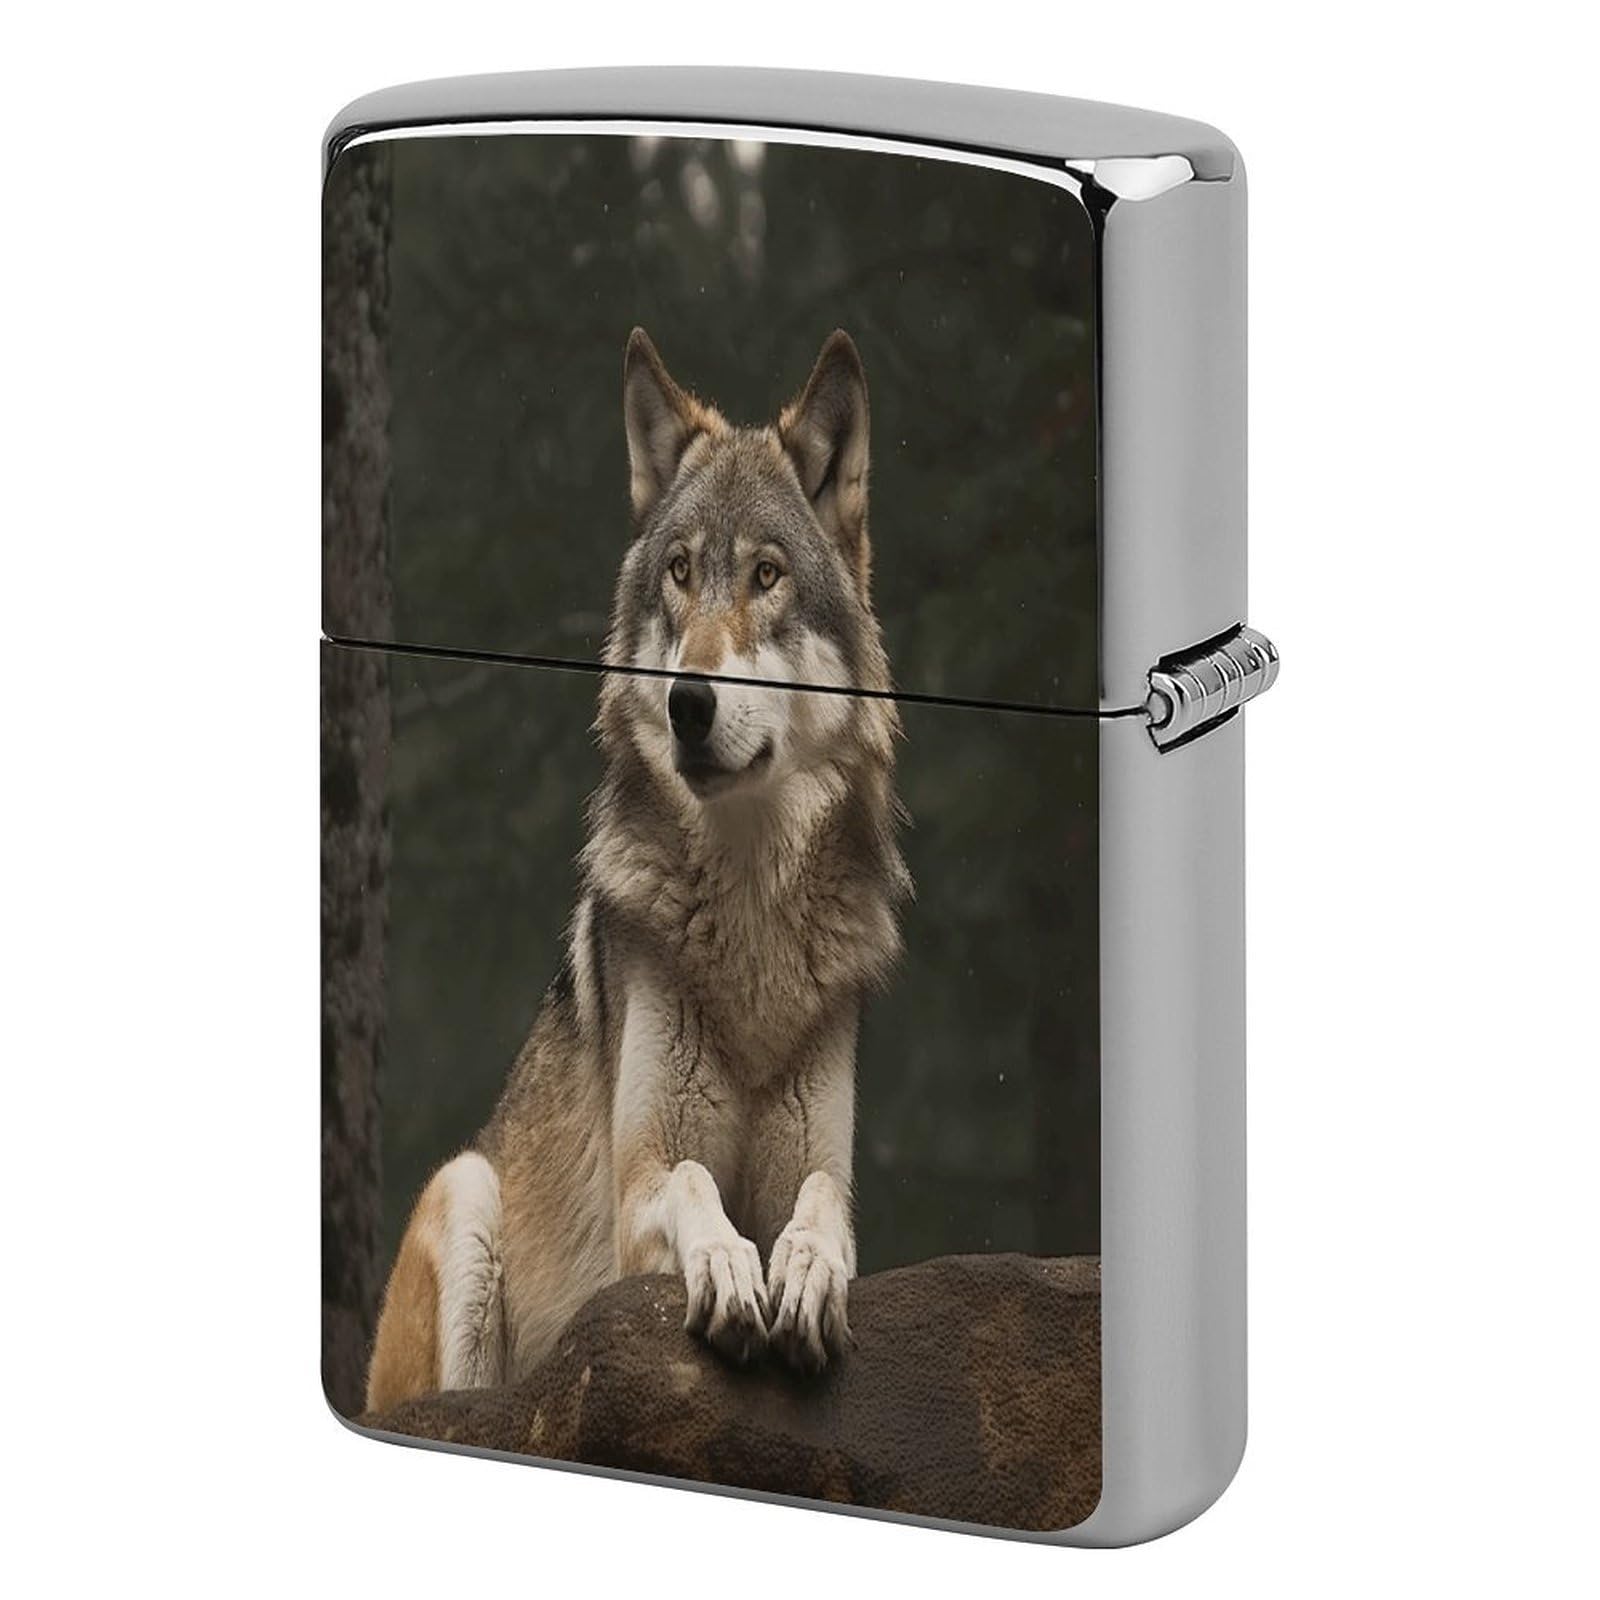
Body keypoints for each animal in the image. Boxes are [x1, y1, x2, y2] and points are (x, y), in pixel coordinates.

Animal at [364, 329, 911, 1412]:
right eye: (679, 572)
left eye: (767, 575)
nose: (686, 702)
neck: (749, 915)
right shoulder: (639, 1186)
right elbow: (693, 1186)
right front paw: (729, 1265)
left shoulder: (822, 1167)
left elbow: (823, 1208)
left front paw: (804, 1270)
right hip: (466, 1190)